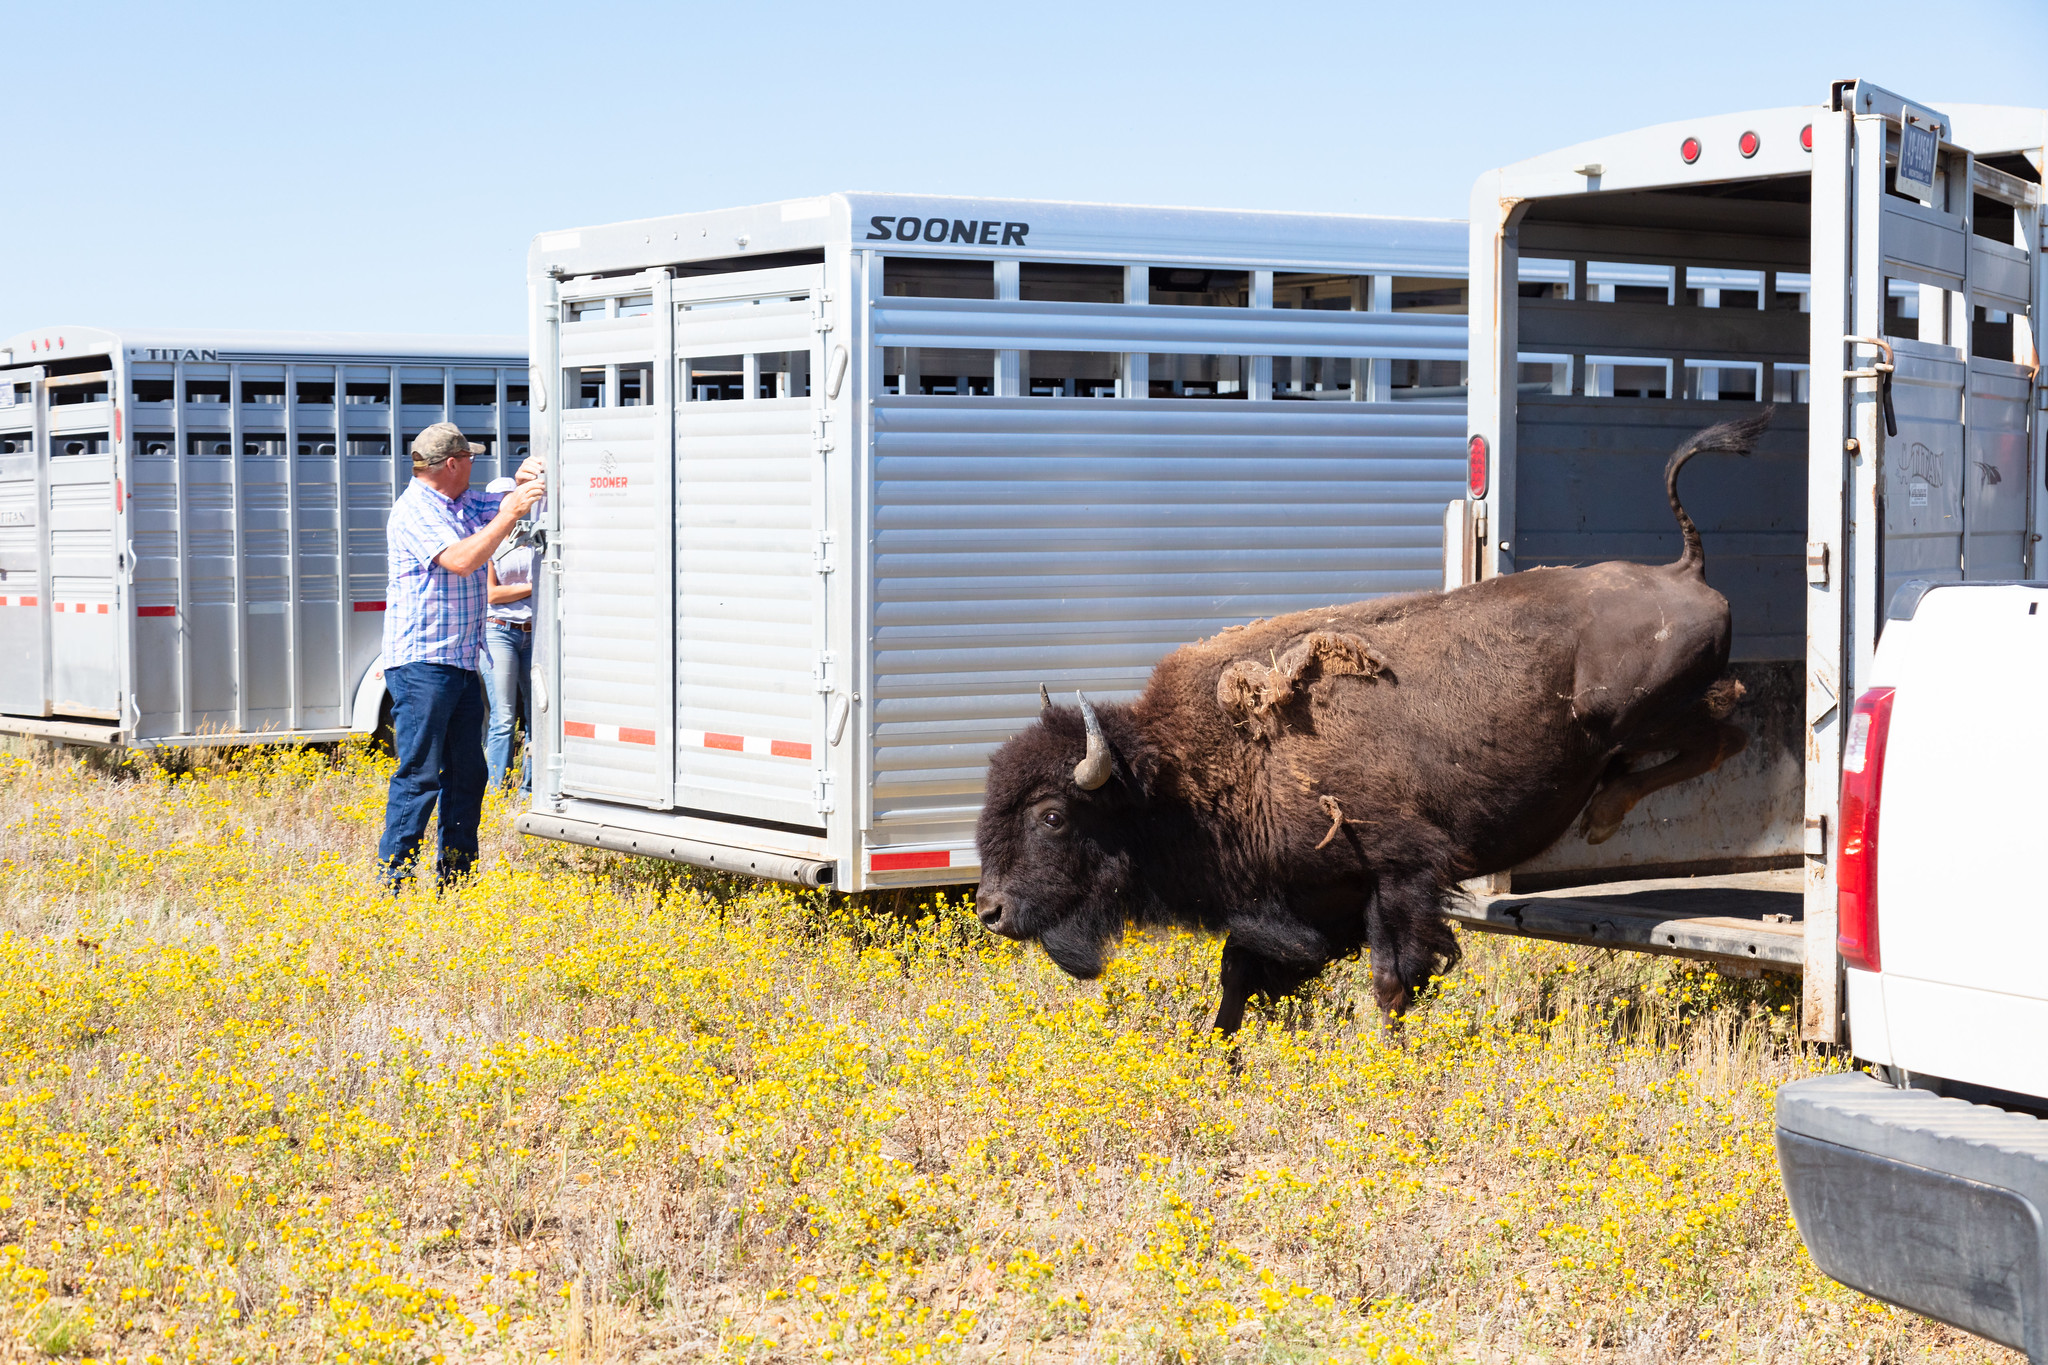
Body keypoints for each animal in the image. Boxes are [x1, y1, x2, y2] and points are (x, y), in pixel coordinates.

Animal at [966, 411, 1769, 1031]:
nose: (991, 910)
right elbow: (1238, 971)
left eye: (1052, 816)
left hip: (1640, 712)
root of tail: (1682, 572)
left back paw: (1603, 814)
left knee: (1721, 733)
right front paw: (1217, 1059)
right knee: (1721, 734)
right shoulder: (1315, 899)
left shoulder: (1401, 875)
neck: (1188, 772)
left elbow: (1393, 976)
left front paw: (1390, 1049)